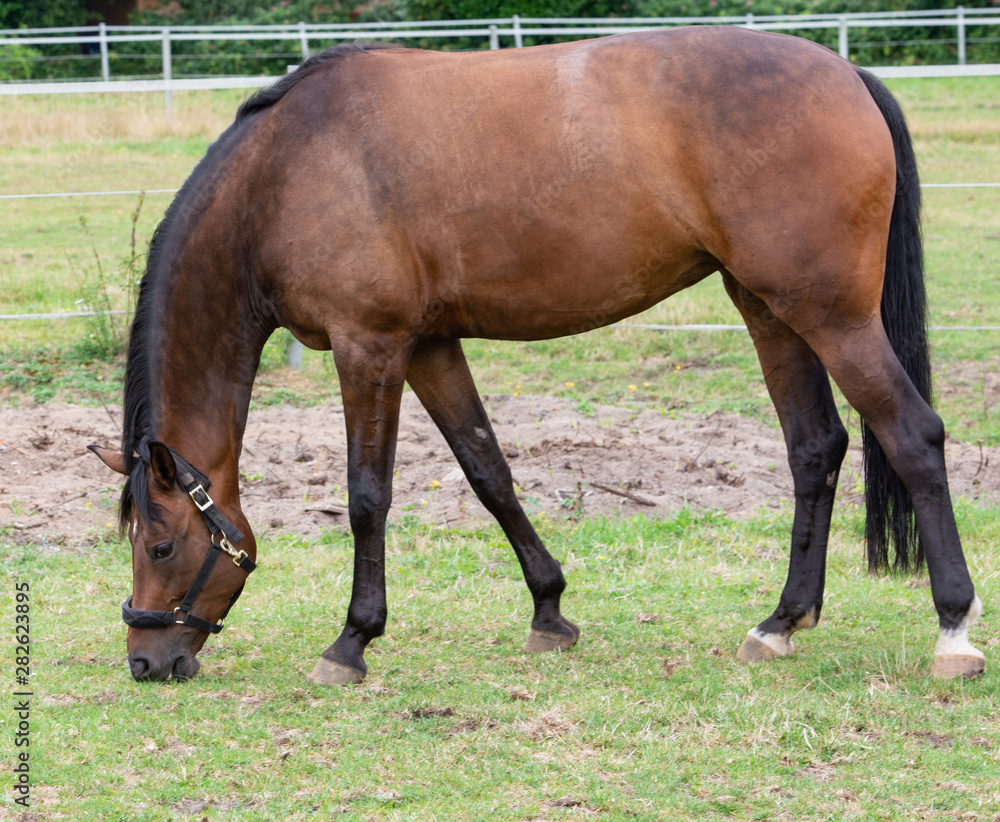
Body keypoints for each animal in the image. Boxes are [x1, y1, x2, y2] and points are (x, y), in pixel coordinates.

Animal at [90, 26, 985, 684]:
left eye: (160, 545)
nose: (146, 661)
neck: (285, 171)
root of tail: (847, 73)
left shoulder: (369, 345)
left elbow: (367, 496)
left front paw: (352, 641)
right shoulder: (430, 346)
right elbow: (489, 472)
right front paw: (550, 610)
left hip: (831, 315)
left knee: (911, 436)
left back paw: (953, 629)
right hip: (768, 308)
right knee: (815, 449)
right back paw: (780, 622)